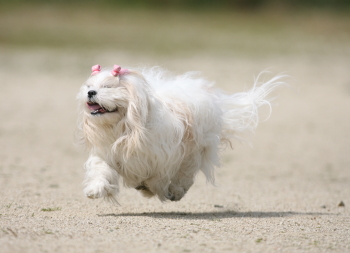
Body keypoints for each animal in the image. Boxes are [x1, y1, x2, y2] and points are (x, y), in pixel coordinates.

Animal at [77, 64, 284, 203]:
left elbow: (157, 177)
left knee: (185, 173)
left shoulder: (163, 156)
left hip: (195, 149)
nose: (91, 93)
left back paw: (174, 191)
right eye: (89, 86)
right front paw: (95, 189)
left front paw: (151, 189)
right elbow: (101, 169)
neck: (124, 127)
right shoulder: (106, 152)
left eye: (108, 87)